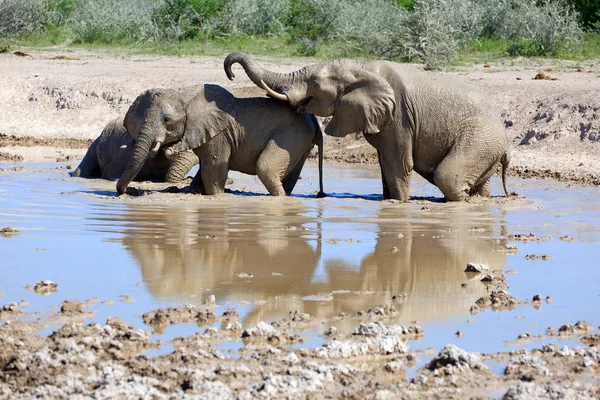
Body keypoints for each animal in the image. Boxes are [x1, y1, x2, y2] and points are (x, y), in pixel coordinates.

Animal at [117, 84, 324, 197]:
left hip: (291, 135)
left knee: (265, 168)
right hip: (300, 140)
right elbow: (204, 168)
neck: (185, 96)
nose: (134, 191)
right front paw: (191, 190)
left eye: (167, 120)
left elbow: (213, 170)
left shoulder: (219, 134)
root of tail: (312, 117)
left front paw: (216, 197)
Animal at [223, 52, 508, 202]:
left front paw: (400, 204)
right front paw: (389, 202)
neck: (360, 67)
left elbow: (398, 163)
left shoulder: (399, 116)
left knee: (447, 177)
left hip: (480, 137)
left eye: (313, 83)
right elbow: (386, 164)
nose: (231, 73)